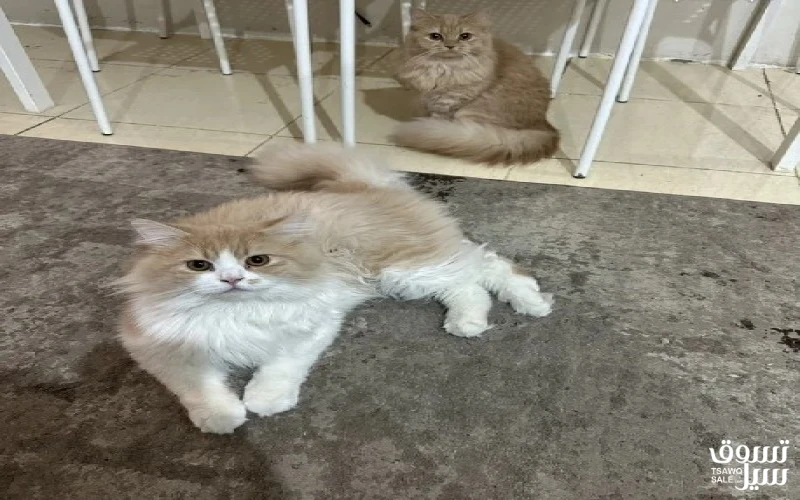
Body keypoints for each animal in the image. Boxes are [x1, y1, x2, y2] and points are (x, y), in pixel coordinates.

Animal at [116, 144, 554, 434]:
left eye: (257, 260)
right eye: (199, 265)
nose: (231, 280)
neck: (236, 312)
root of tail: (361, 185)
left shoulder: (311, 326)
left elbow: (279, 369)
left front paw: (264, 402)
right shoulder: (160, 346)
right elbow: (200, 388)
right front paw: (222, 418)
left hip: (408, 267)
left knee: (489, 266)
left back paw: (530, 304)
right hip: (411, 275)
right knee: (470, 285)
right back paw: (471, 322)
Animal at [392, 9, 559, 165]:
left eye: (465, 36)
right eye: (435, 36)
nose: (450, 46)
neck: (445, 69)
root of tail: (546, 127)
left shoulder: (448, 102)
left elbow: (437, 118)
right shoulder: (430, 98)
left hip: (470, 113)